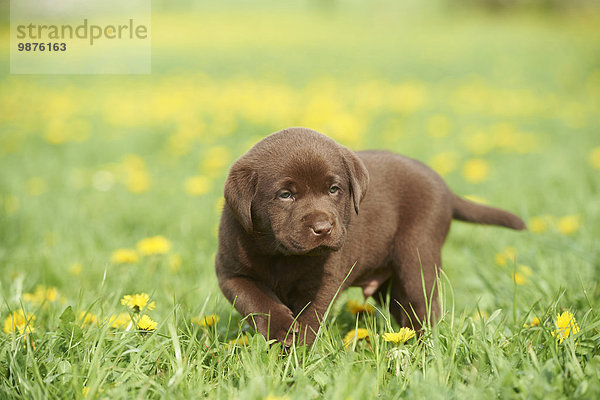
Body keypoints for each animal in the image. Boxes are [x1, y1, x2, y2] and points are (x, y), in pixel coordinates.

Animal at [216, 126, 524, 346]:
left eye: (333, 189)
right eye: (285, 195)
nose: (323, 228)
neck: (282, 255)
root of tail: (445, 188)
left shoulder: (323, 280)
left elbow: (311, 318)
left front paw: (297, 352)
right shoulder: (231, 272)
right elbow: (256, 301)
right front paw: (282, 330)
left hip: (417, 257)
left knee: (425, 308)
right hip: (391, 284)